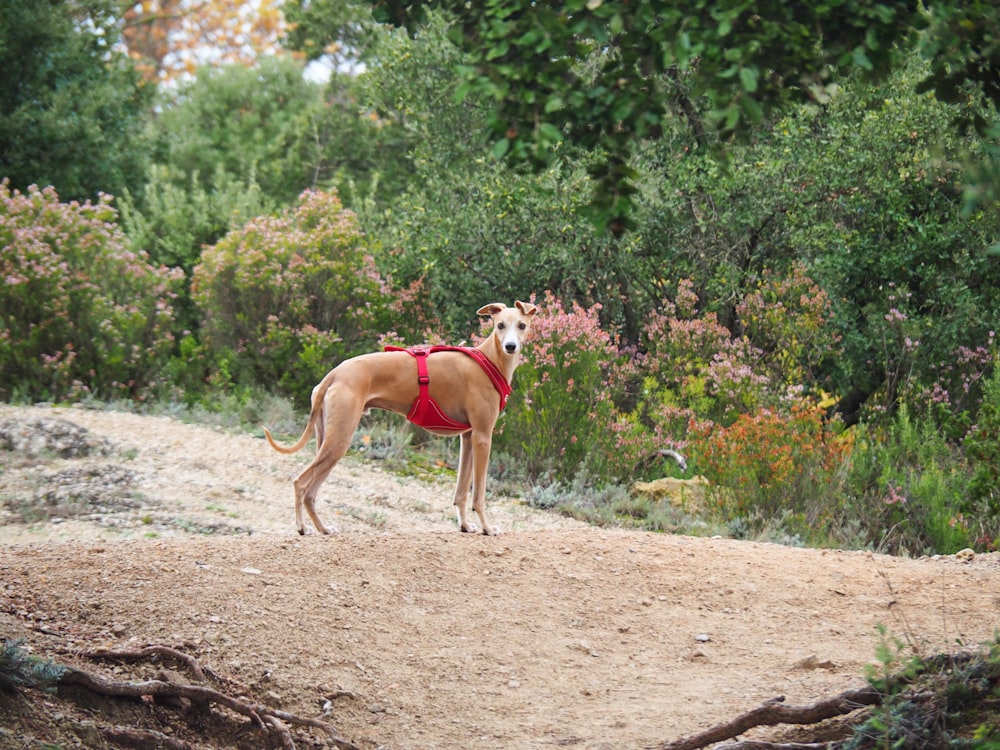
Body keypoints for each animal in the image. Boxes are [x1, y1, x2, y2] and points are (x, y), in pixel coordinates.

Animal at [262, 302, 536, 536]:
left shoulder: (467, 438)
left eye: (522, 325)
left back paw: (323, 528)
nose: (511, 346)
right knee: (300, 483)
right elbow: (478, 493)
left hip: (327, 441)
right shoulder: (482, 437)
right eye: (500, 325)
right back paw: (302, 528)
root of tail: (334, 373)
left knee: (311, 491)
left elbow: (460, 491)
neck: (489, 360)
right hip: (338, 441)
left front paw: (466, 526)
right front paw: (488, 528)